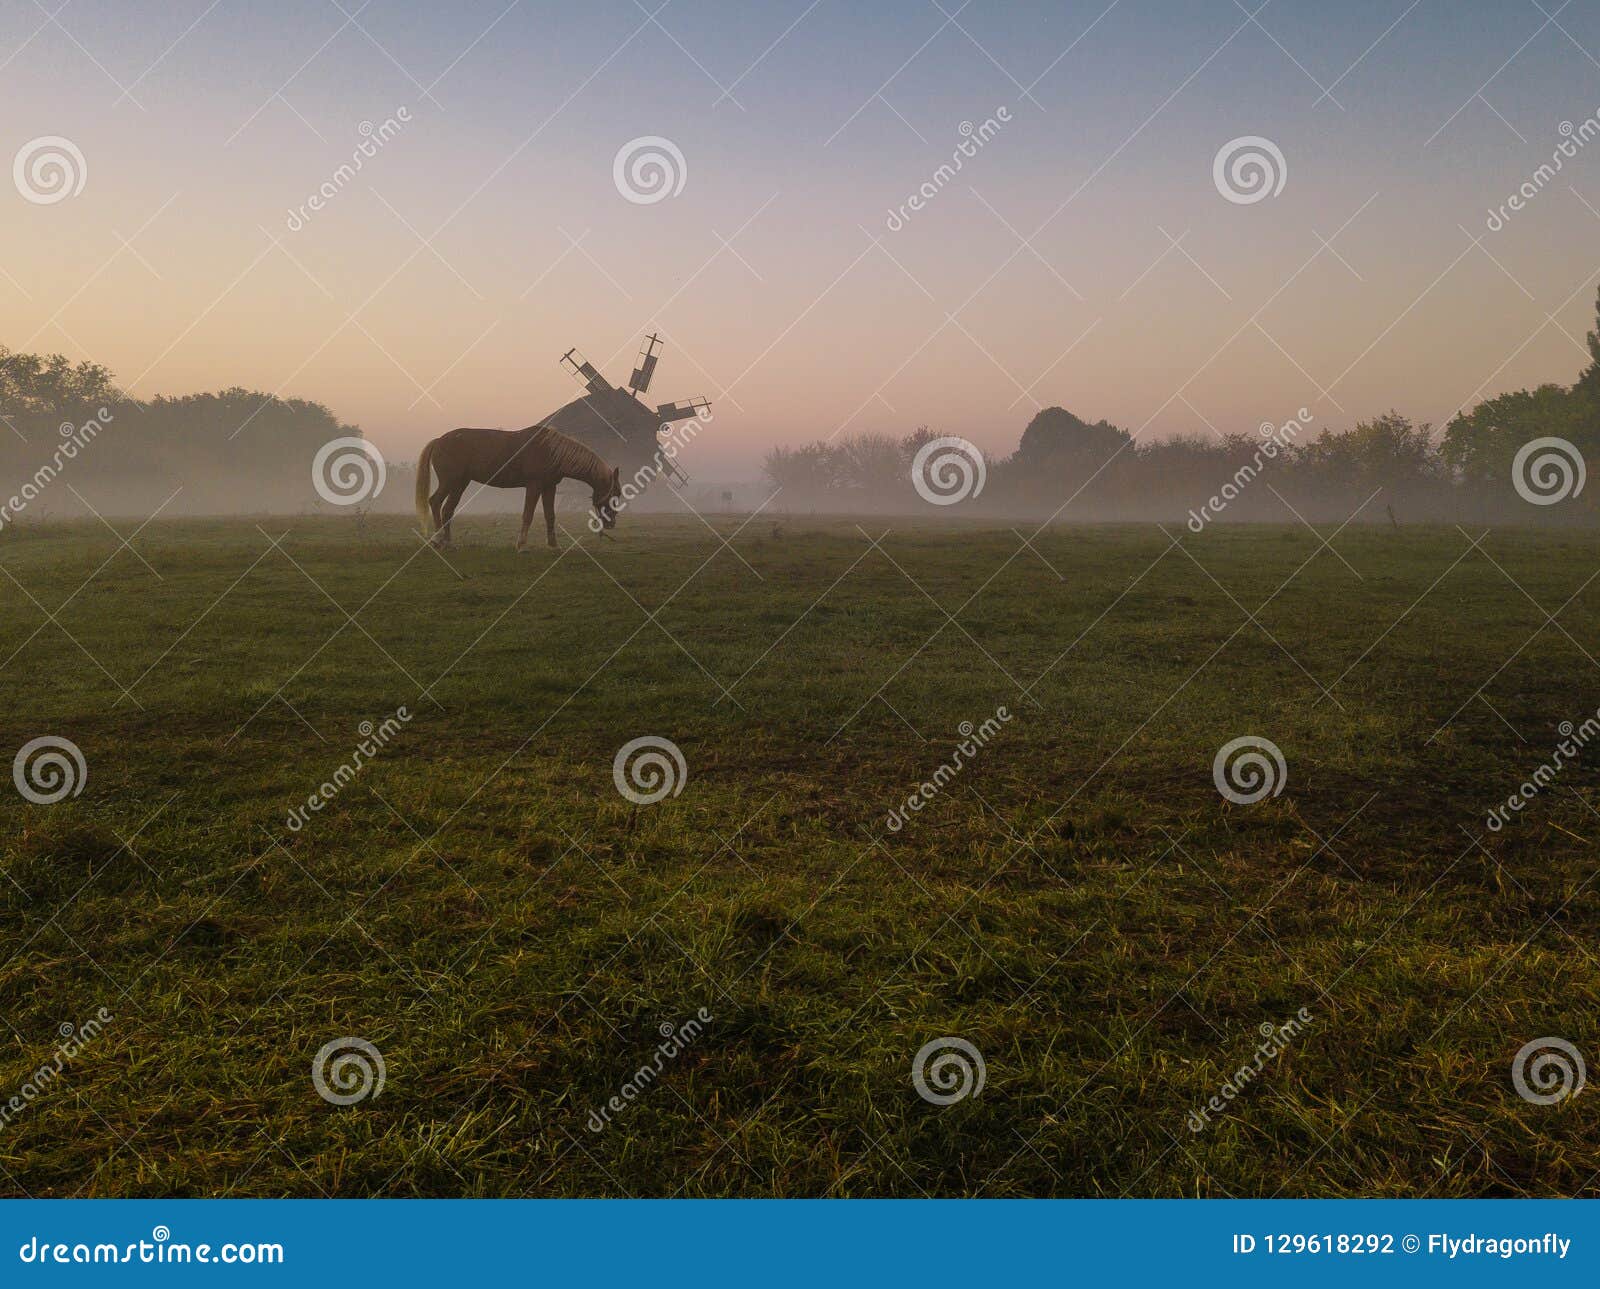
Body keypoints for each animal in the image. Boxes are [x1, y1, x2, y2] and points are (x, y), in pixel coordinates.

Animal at [416, 425, 620, 553]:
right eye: (615, 493)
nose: (611, 523)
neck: (552, 451)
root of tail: (439, 441)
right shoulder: (534, 486)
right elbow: (527, 515)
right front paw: (521, 545)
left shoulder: (549, 487)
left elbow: (550, 515)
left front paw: (554, 546)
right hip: (451, 482)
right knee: (437, 504)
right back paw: (438, 541)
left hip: (460, 484)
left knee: (446, 509)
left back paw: (447, 543)